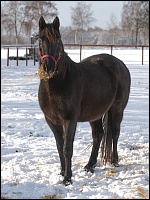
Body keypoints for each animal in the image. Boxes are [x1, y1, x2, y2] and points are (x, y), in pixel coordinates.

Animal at [37, 15, 131, 186]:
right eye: (40, 40)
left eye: (58, 39)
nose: (48, 67)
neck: (58, 84)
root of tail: (120, 64)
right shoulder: (52, 120)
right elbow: (59, 146)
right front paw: (62, 172)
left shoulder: (70, 119)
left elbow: (67, 148)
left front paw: (67, 178)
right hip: (95, 114)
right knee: (98, 135)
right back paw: (90, 165)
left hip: (117, 109)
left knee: (114, 133)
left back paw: (114, 161)